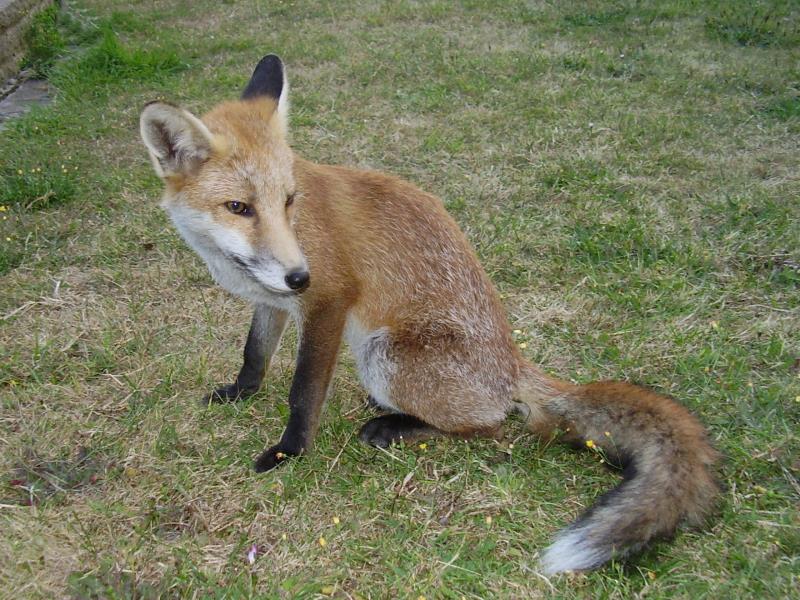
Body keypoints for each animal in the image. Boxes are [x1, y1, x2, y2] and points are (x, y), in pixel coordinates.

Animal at [138, 57, 720, 576]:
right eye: (239, 207)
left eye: (288, 200)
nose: (300, 275)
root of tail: (512, 363)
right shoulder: (273, 299)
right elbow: (254, 353)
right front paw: (240, 393)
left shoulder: (328, 301)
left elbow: (303, 392)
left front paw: (288, 453)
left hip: (383, 355)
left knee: (493, 424)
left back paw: (396, 426)